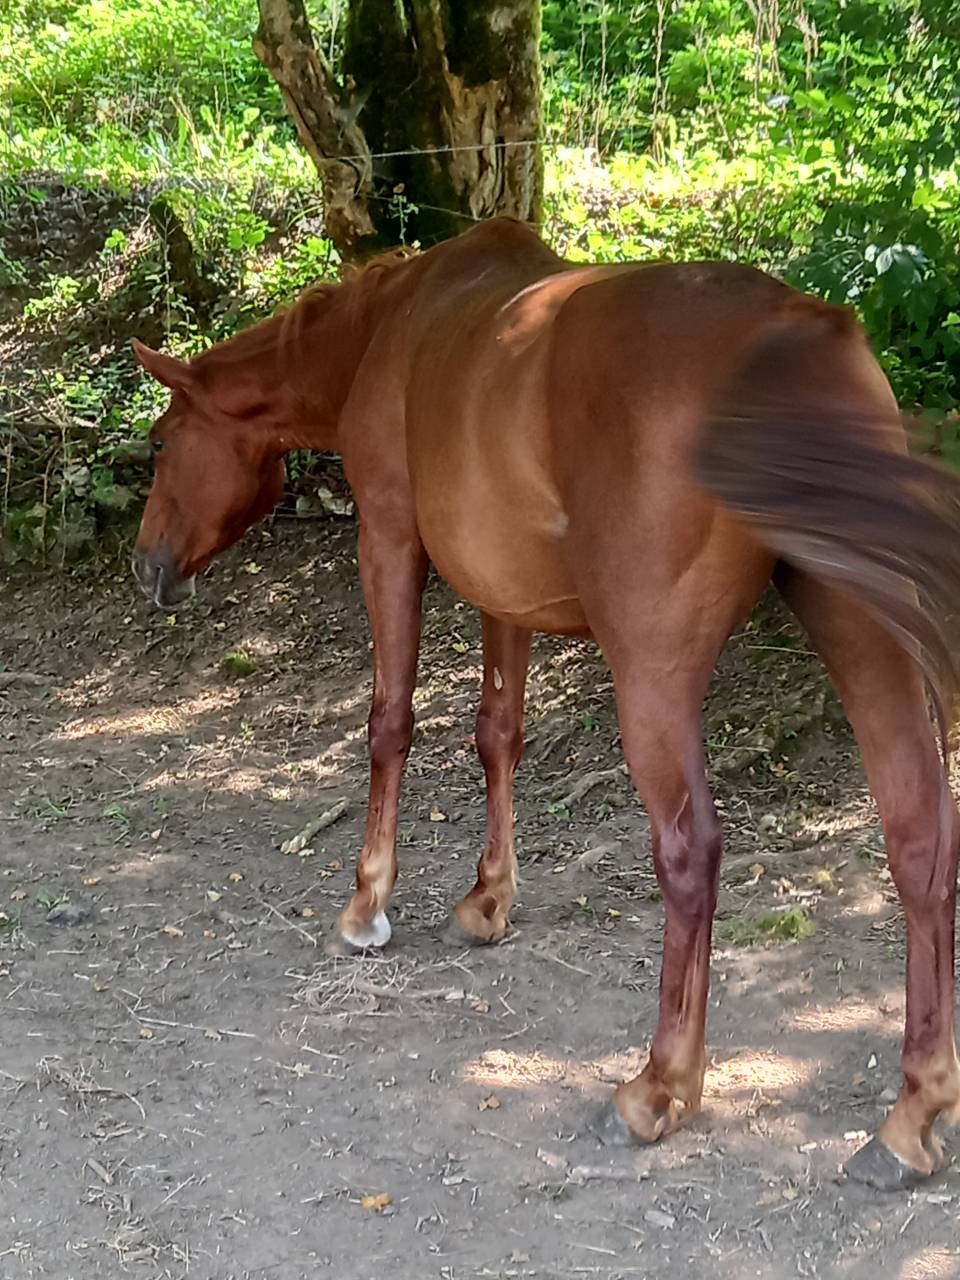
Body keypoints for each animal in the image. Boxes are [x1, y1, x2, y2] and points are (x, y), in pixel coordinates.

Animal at [131, 216, 960, 1191]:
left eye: (161, 440)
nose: (145, 566)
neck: (390, 325)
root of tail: (793, 330)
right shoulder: (504, 591)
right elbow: (499, 735)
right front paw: (487, 901)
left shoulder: (389, 539)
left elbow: (389, 724)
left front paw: (367, 907)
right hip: (862, 633)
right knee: (919, 834)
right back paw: (911, 1116)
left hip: (654, 673)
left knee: (692, 851)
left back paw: (659, 1087)